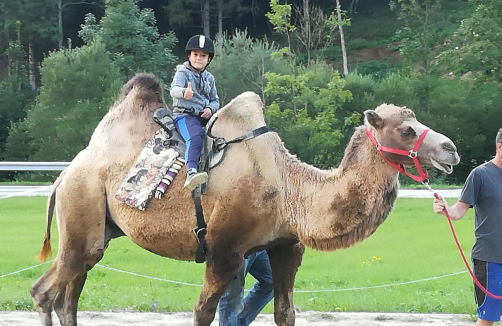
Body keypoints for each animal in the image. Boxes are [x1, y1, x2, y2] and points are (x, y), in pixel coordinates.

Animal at [28, 72, 458, 324]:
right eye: (406, 129)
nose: (450, 149)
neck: (290, 190)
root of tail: (64, 175)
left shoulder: (286, 247)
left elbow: (284, 312)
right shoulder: (223, 252)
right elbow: (203, 312)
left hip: (97, 230)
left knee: (69, 296)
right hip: (82, 208)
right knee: (44, 292)